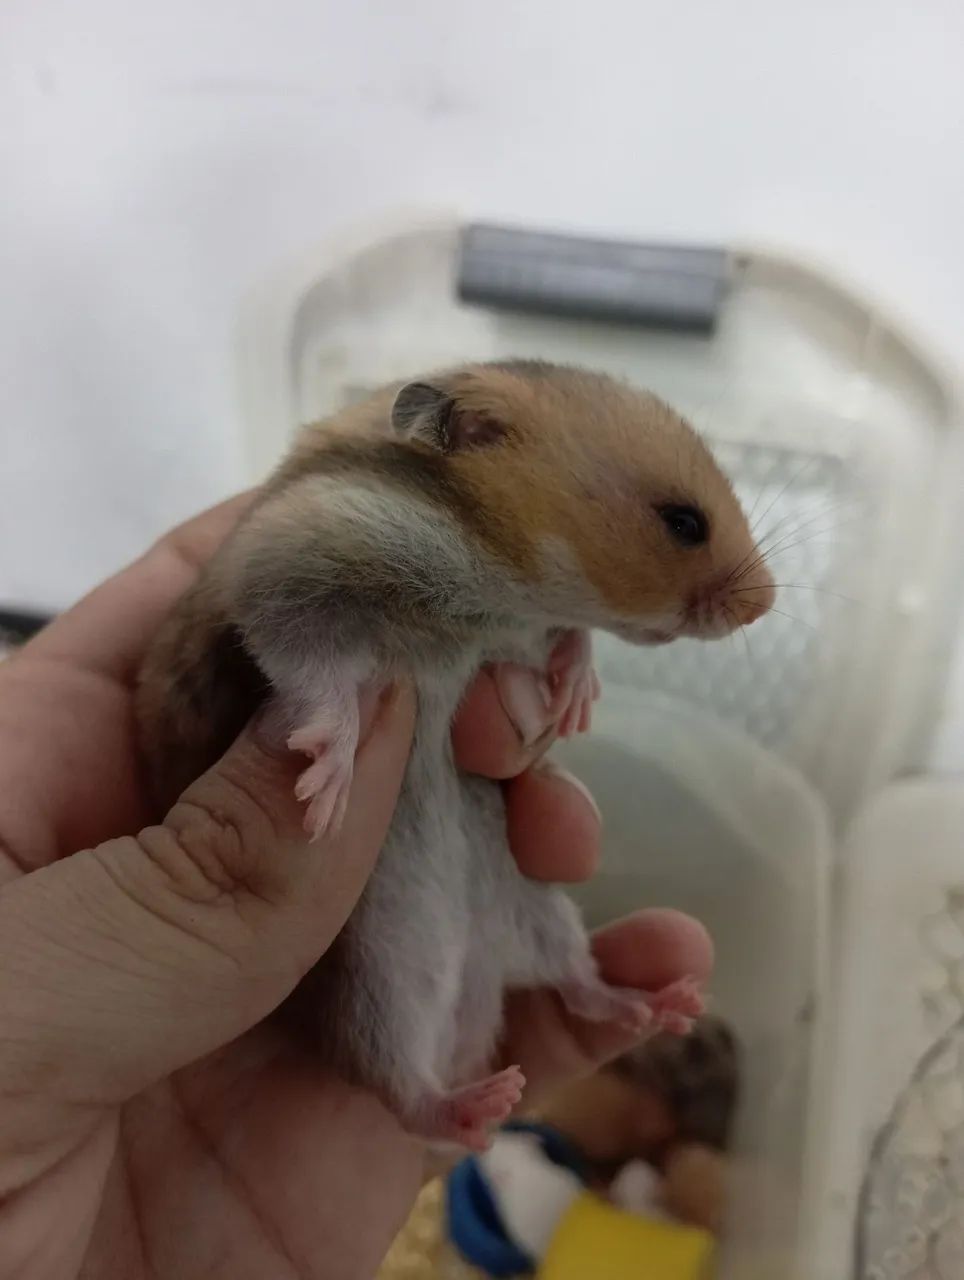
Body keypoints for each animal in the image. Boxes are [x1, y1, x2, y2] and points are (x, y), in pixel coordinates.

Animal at [136, 360, 774, 1150]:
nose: (766, 605)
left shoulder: (518, 632)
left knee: (576, 984)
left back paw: (654, 1008)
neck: (497, 576)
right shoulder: (290, 570)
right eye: (684, 523)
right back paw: (478, 1106)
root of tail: (466, 1004)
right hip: (373, 983)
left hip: (536, 910)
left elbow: (569, 639)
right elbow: (317, 675)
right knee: (396, 1085)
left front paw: (574, 702)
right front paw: (325, 785)